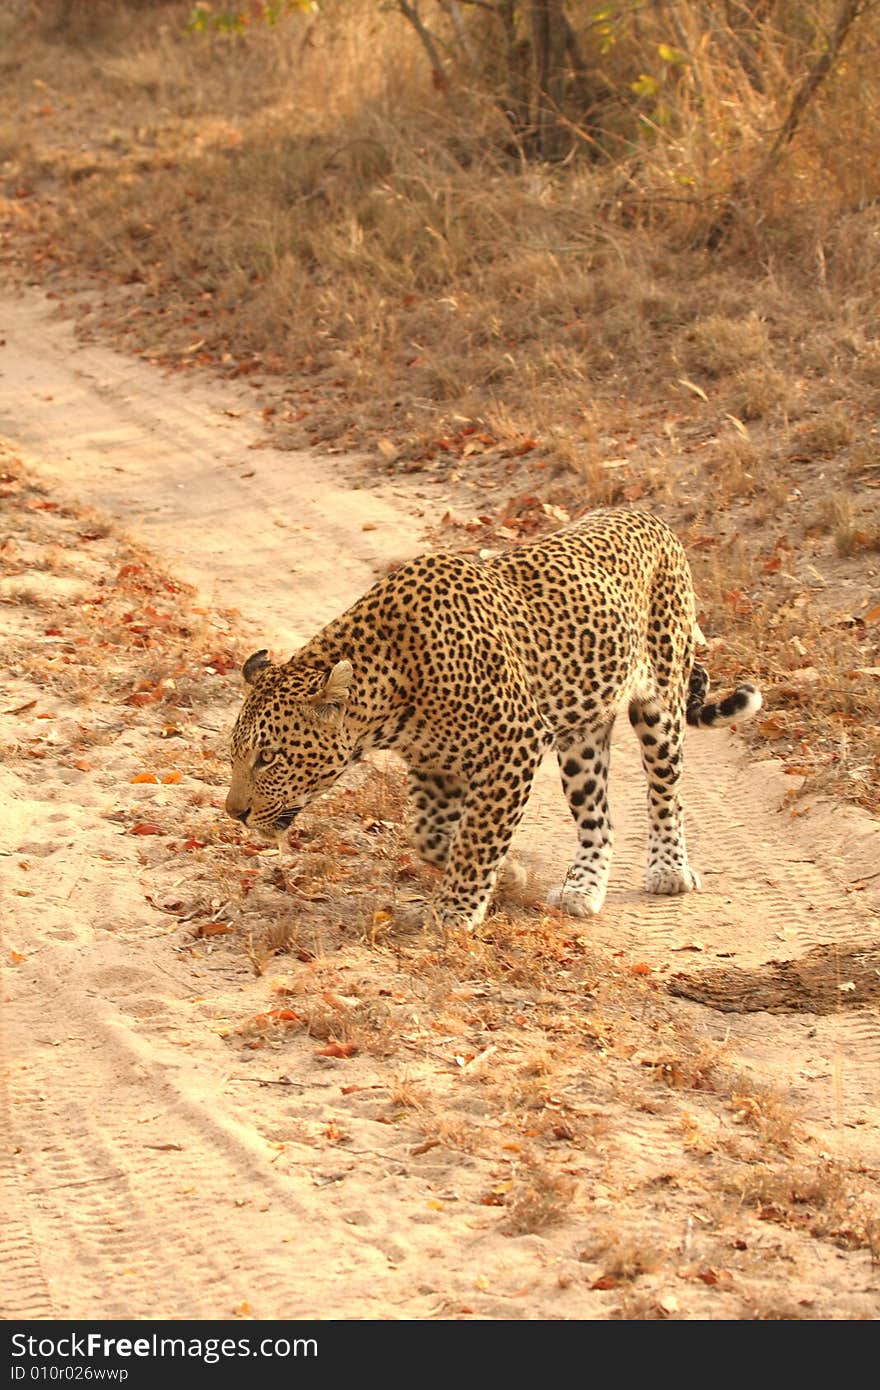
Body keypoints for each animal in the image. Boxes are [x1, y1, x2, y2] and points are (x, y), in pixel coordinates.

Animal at [226, 505, 761, 928]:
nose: (235, 813)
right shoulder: (433, 764)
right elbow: (432, 835)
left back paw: (669, 869)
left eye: (268, 757)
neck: (391, 686)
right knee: (599, 819)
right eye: (235, 756)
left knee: (666, 794)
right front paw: (506, 873)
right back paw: (582, 889)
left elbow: (477, 835)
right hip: (582, 740)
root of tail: (650, 516)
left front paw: (455, 911)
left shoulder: (515, 743)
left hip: (660, 705)